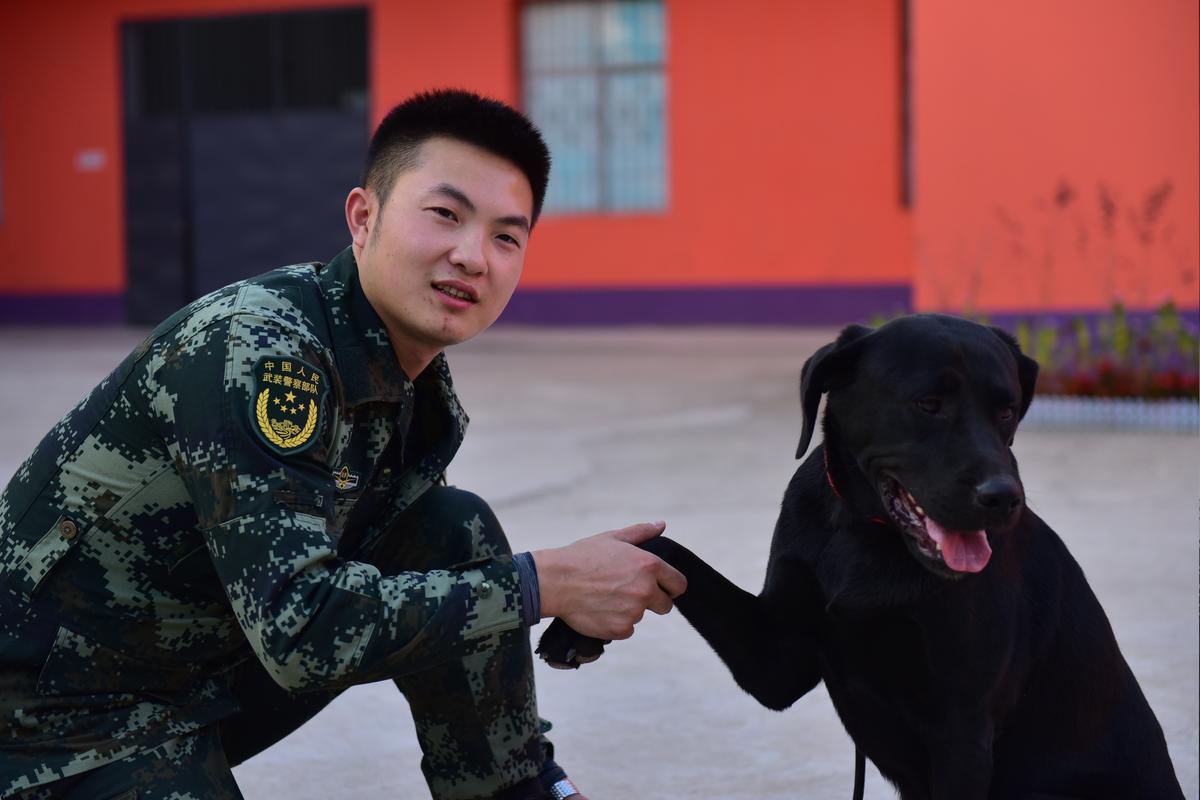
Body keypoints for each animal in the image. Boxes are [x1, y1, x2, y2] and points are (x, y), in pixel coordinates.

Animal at [540, 314, 1185, 800]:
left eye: (1006, 411)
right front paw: (574, 625)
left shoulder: (963, 733)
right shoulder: (777, 661)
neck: (867, 532)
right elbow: (665, 549)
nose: (1003, 498)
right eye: (928, 403)